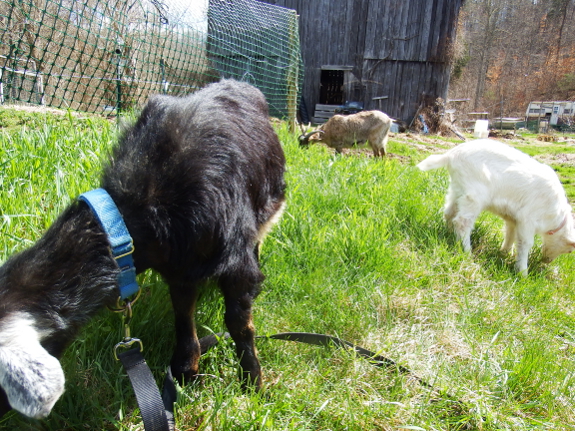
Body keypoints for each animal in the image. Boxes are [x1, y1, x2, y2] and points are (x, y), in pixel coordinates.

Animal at [0, 79, 286, 420]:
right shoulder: (181, 267)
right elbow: (183, 315)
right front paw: (185, 373)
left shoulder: (234, 259)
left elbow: (239, 323)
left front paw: (253, 384)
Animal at [416, 140, 575, 276]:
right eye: (569, 251)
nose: (547, 261)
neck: (556, 215)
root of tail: (451, 155)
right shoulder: (528, 218)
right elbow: (525, 243)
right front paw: (522, 273)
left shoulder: (513, 218)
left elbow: (510, 234)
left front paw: (505, 253)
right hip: (474, 194)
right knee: (462, 221)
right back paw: (467, 252)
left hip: (457, 189)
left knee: (449, 213)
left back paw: (450, 235)